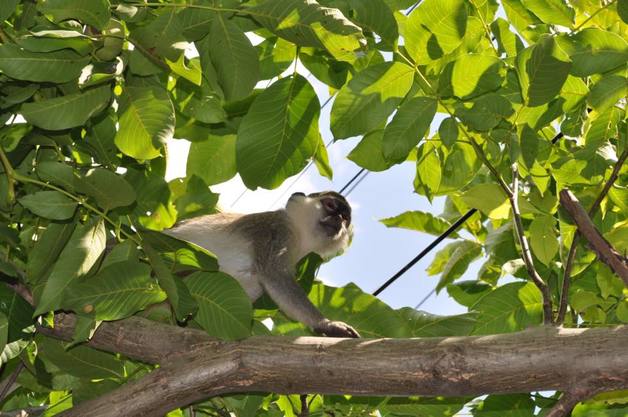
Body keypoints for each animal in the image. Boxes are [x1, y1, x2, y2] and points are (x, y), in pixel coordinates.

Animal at [163, 192, 358, 338]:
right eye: (330, 205)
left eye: (345, 218)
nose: (339, 219)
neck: (298, 234)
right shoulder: (278, 230)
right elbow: (273, 273)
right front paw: (326, 324)